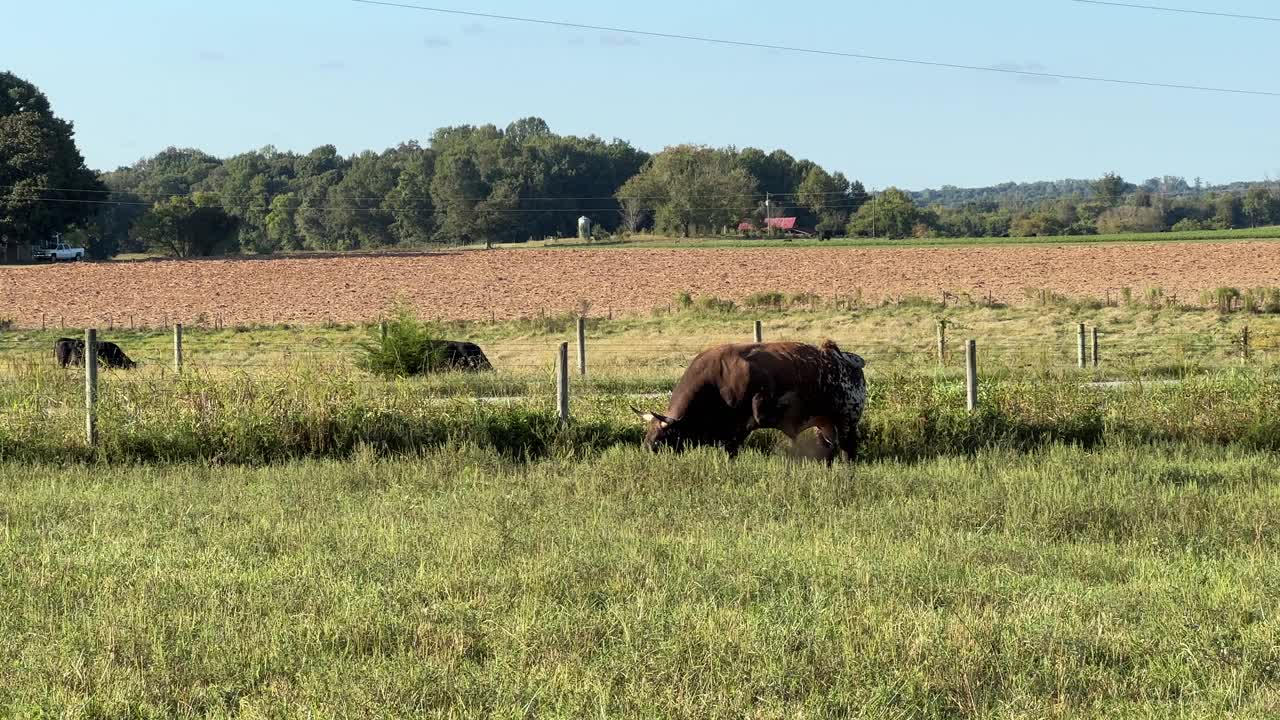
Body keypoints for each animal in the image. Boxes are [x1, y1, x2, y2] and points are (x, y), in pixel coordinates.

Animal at [632, 338, 870, 461]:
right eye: (648, 432)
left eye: (663, 435)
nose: (646, 450)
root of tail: (845, 356)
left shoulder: (737, 427)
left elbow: (732, 449)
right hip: (825, 425)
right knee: (829, 449)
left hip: (846, 423)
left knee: (848, 451)